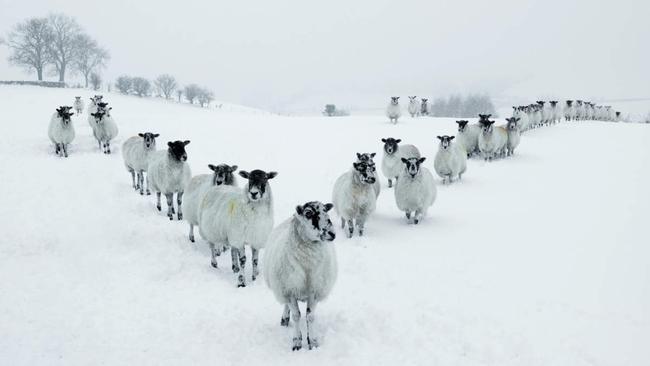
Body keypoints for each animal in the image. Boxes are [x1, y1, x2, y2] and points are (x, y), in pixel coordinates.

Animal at [262, 202, 336, 350]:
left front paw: (312, 341)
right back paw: (285, 319)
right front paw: (297, 341)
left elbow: (310, 316)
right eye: (308, 213)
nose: (332, 233)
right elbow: (296, 316)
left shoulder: (314, 291)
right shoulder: (290, 290)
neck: (307, 265)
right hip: (284, 286)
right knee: (286, 306)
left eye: (326, 211)